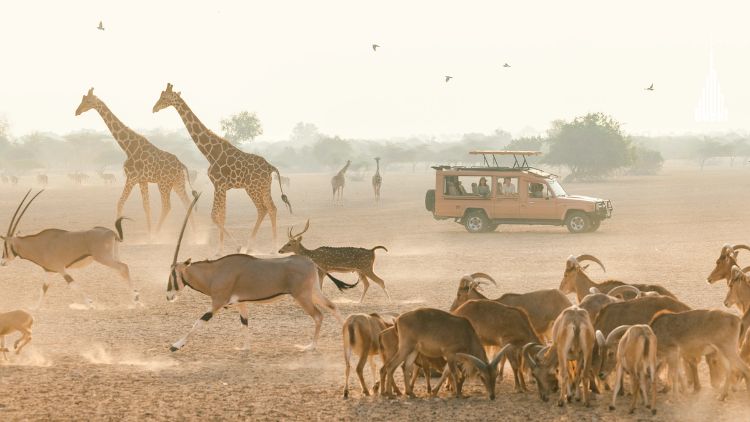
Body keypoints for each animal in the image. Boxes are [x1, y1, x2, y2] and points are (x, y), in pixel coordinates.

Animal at [1, 190, 136, 306]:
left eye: (5, 245)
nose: (2, 262)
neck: (38, 244)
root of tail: (112, 233)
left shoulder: (61, 268)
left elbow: (73, 285)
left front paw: (90, 304)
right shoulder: (49, 271)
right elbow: (43, 289)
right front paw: (34, 309)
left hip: (103, 258)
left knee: (123, 267)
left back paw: (136, 300)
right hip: (112, 257)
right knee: (121, 270)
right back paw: (135, 297)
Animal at [74, 88, 194, 232]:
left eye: (88, 101)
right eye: (82, 99)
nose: (77, 111)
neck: (128, 147)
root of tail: (181, 165)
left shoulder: (131, 178)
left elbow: (120, 202)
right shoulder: (142, 180)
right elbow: (146, 206)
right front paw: (148, 233)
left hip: (164, 184)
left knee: (167, 206)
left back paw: (158, 233)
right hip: (177, 183)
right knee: (187, 203)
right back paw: (194, 233)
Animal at [151, 84, 292, 252]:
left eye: (165, 97)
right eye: (160, 95)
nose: (154, 108)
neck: (210, 153)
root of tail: (271, 167)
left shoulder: (219, 184)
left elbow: (214, 215)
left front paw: (234, 247)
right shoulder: (221, 187)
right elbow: (222, 215)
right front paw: (220, 249)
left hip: (253, 188)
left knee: (263, 209)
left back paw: (251, 246)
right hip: (264, 187)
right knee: (272, 208)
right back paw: (271, 246)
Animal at [169, 195, 356, 352]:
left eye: (172, 274)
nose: (168, 296)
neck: (215, 271)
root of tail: (310, 261)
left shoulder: (217, 303)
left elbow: (199, 322)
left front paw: (175, 346)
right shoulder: (240, 303)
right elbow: (244, 324)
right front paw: (244, 348)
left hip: (302, 296)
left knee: (318, 316)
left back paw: (310, 346)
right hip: (314, 292)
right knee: (332, 307)